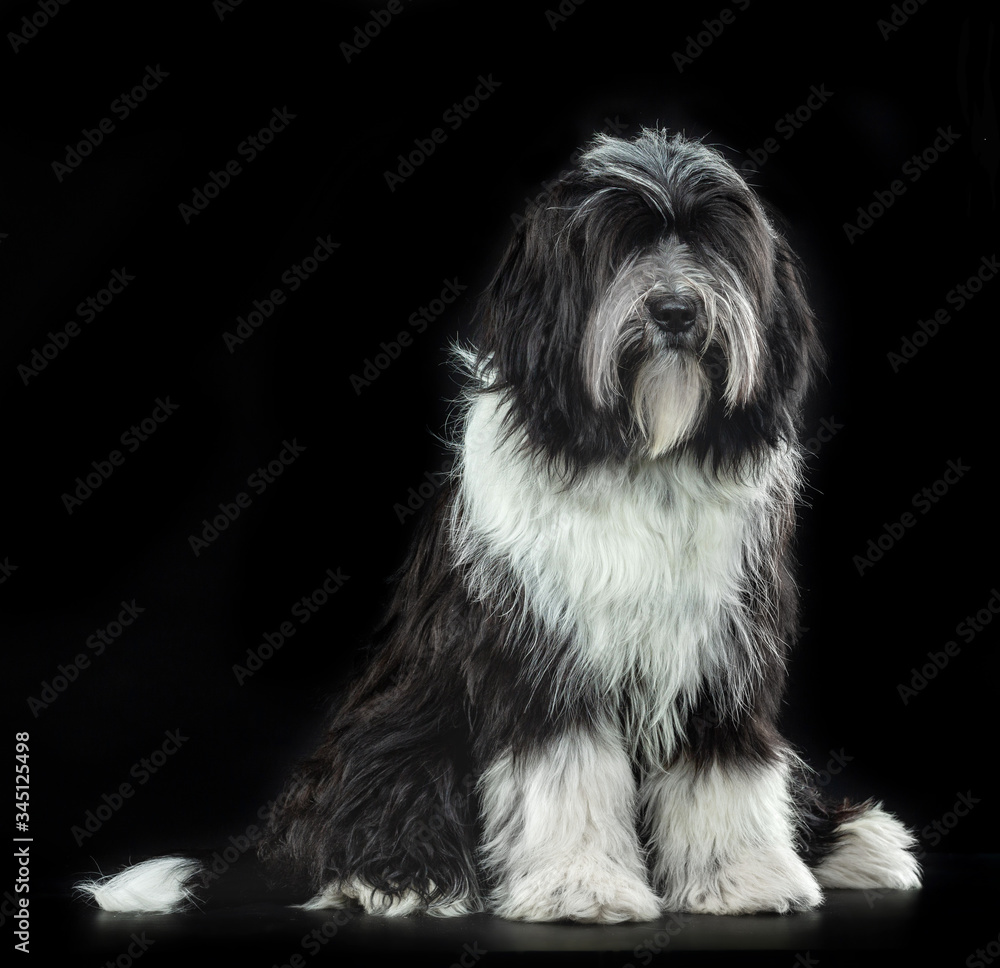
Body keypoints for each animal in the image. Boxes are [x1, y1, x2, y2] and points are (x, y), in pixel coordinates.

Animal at [78, 130, 920, 924]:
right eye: (616, 246)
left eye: (717, 242)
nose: (676, 310)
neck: (635, 454)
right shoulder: (541, 654)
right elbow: (568, 775)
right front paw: (582, 887)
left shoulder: (722, 650)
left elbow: (724, 769)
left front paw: (742, 880)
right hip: (395, 733)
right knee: (364, 815)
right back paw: (395, 881)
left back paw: (857, 842)